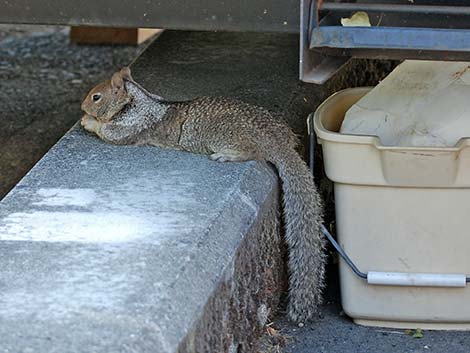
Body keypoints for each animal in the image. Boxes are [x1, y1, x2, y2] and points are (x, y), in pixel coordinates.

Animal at [81, 66, 326, 322]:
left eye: (96, 97)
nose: (82, 105)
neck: (138, 99)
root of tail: (278, 143)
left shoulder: (131, 126)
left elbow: (108, 132)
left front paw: (88, 121)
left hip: (223, 135)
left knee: (252, 151)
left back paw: (227, 156)